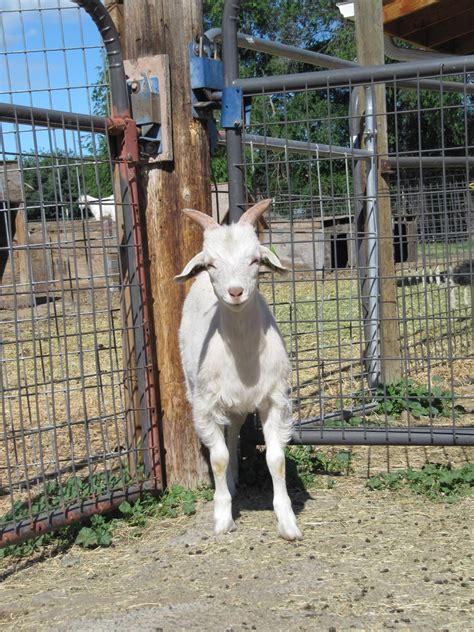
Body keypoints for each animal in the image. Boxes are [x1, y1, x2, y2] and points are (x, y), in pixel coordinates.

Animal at [176, 200, 302, 540]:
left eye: (255, 259)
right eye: (210, 264)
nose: (235, 292)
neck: (244, 357)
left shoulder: (274, 399)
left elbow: (276, 459)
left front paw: (287, 522)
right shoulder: (205, 405)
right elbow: (218, 458)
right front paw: (223, 518)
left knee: (232, 433)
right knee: (225, 442)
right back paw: (229, 484)